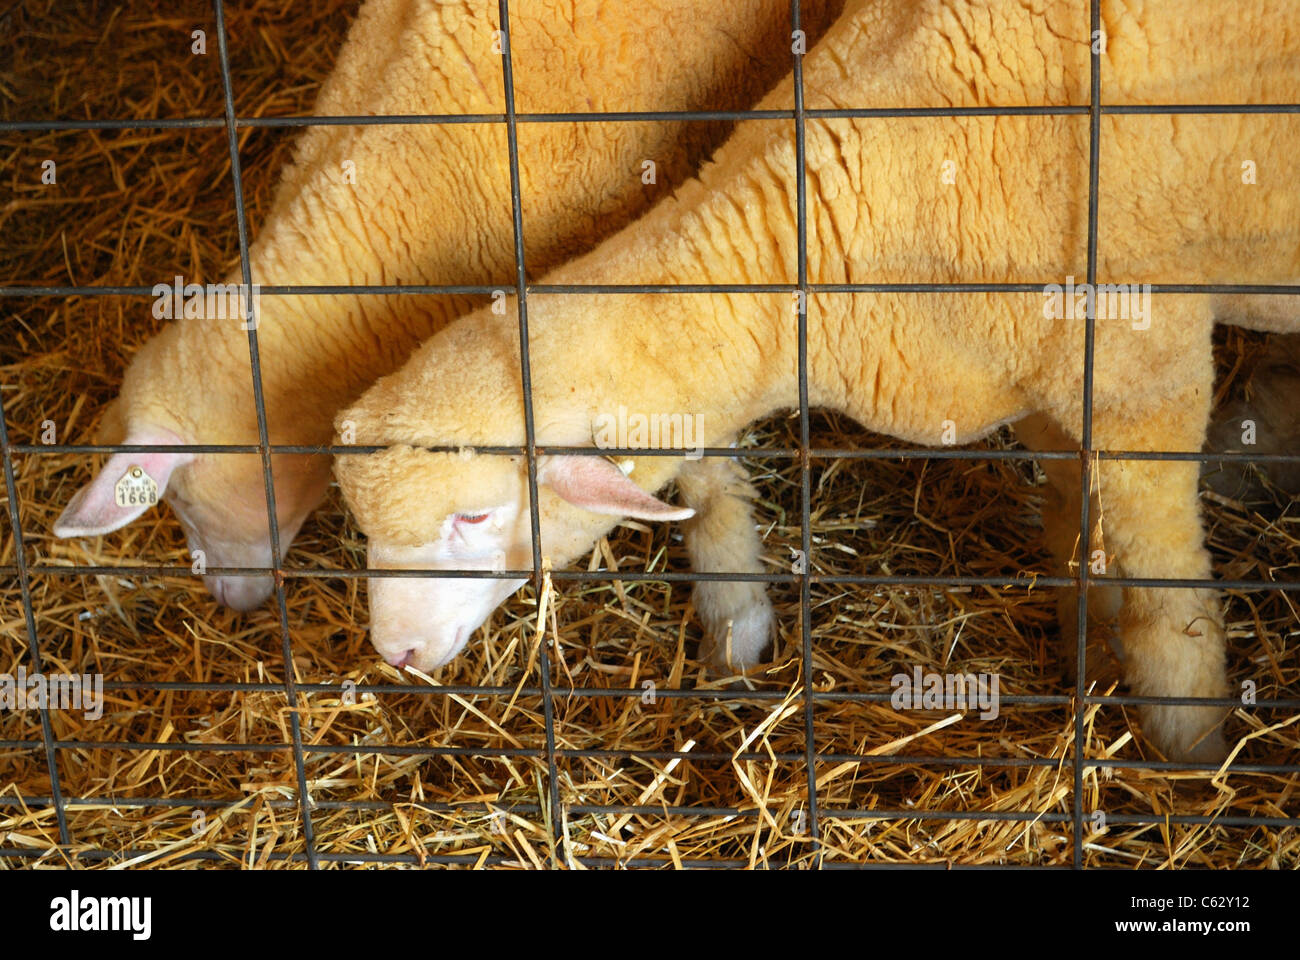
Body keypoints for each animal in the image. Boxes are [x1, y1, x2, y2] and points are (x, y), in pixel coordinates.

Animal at [335, 0, 1300, 764]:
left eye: (474, 518)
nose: (393, 653)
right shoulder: (1033, 378)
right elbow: (1072, 510)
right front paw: (1086, 648)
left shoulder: (1145, 371)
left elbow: (1166, 586)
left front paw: (1191, 748)